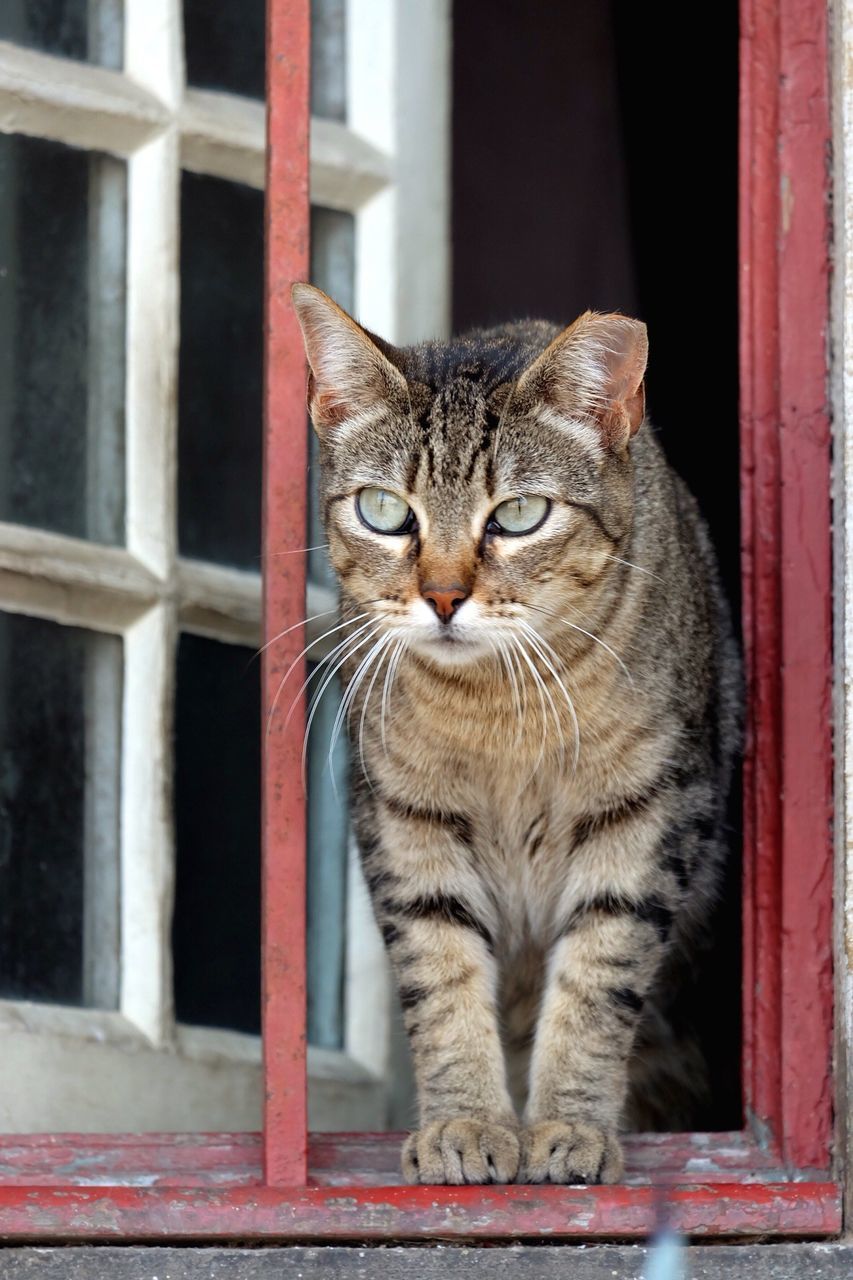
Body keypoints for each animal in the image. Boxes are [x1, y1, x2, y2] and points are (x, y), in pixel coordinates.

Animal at [290, 285, 737, 1182]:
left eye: (520, 514)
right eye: (384, 512)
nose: (442, 596)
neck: (498, 711)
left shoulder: (649, 820)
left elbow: (596, 982)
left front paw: (569, 1127)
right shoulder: (405, 824)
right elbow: (442, 979)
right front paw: (464, 1123)